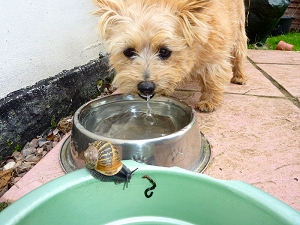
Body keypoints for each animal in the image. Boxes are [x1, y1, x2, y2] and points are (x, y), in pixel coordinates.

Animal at [93, 0, 246, 112]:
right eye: (128, 51)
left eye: (164, 51)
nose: (146, 87)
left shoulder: (214, 57)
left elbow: (212, 79)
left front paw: (209, 101)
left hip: (239, 31)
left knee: (239, 54)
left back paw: (240, 76)